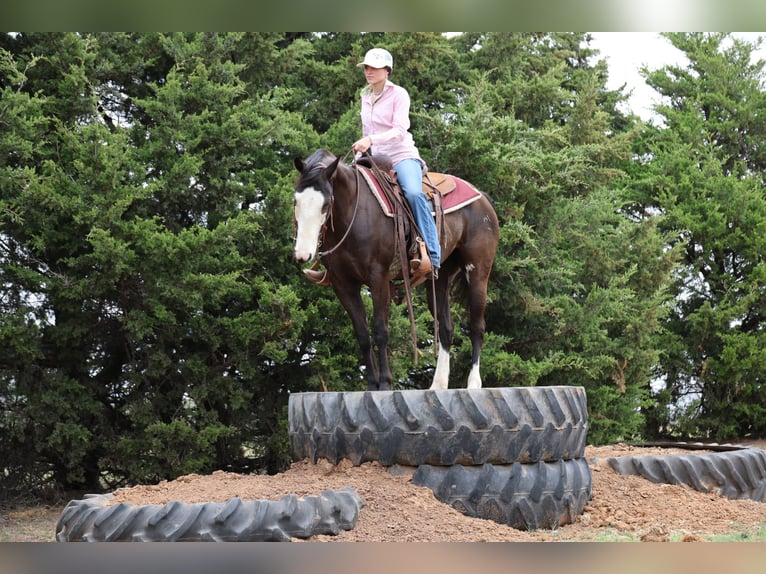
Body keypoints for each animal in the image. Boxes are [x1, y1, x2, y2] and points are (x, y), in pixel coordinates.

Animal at [293, 149, 499, 391]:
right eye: (296, 201)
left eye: (326, 204)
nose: (303, 254)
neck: (354, 212)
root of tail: (482, 198)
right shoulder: (343, 284)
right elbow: (362, 334)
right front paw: (372, 385)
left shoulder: (379, 278)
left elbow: (380, 331)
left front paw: (384, 384)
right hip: (440, 279)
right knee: (446, 329)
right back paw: (437, 385)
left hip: (477, 272)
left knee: (477, 326)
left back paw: (473, 384)